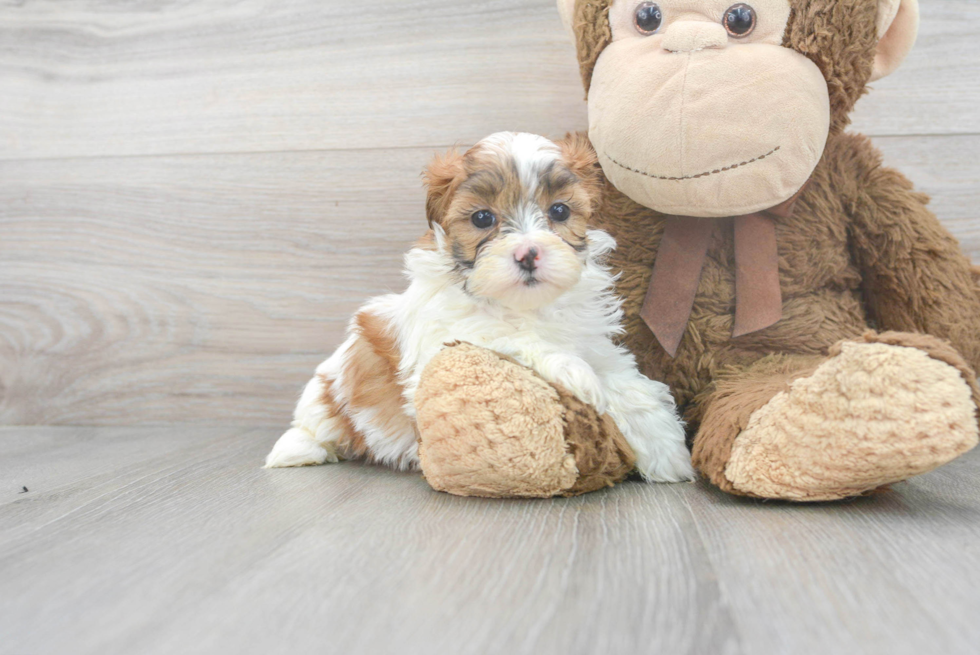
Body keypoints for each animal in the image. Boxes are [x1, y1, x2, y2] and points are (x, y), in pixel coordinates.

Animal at [268, 132, 692, 482]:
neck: (522, 306)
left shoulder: (593, 342)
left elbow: (625, 384)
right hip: (326, 397)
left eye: (559, 211)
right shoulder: (447, 337)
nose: (528, 253)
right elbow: (507, 336)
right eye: (482, 218)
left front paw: (667, 451)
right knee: (313, 425)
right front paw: (575, 373)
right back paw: (297, 451)